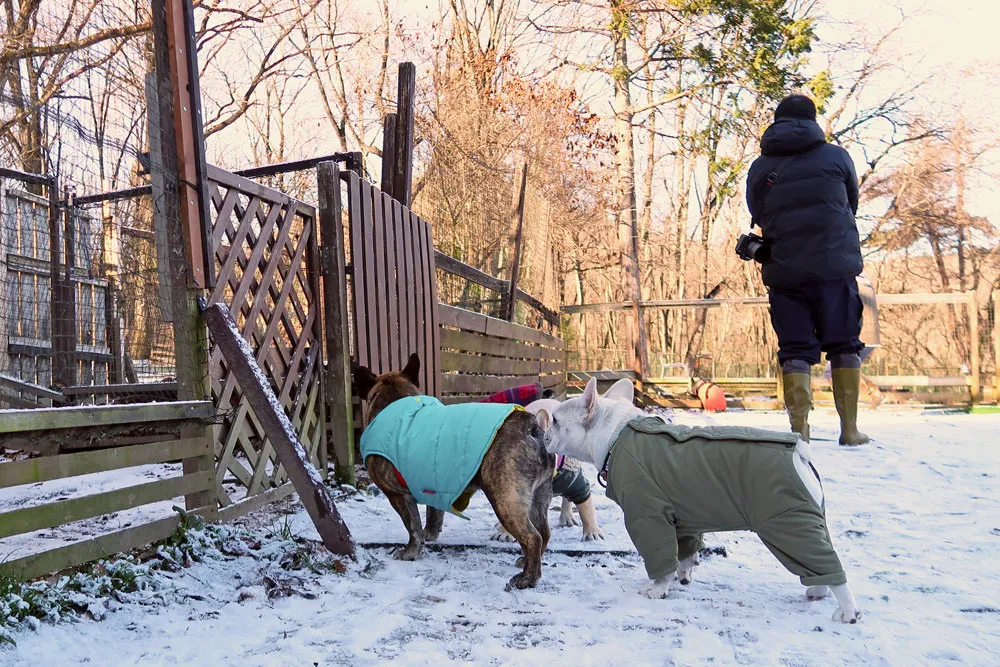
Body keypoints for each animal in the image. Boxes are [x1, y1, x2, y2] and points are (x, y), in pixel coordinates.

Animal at [352, 354, 556, 588]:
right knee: (544, 532)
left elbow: (412, 525)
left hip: (506, 500)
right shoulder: (432, 484)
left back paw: (527, 578)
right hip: (537, 497)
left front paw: (410, 552)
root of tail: (532, 427)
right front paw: (430, 535)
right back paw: (527, 563)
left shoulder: (397, 495)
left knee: (532, 537)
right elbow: (432, 514)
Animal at [540, 378, 860, 624]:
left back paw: (847, 611)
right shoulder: (681, 518)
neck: (615, 436)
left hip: (787, 524)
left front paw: (658, 588)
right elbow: (685, 552)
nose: (542, 433)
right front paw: (683, 576)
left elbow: (661, 559)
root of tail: (800, 454)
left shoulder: (649, 515)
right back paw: (818, 592)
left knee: (830, 568)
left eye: (555, 420)